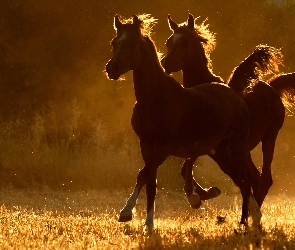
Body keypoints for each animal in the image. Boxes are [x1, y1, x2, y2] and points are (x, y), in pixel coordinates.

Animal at [106, 13, 262, 229]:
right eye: (114, 42)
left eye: (132, 43)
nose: (111, 69)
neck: (155, 98)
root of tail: (237, 96)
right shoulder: (146, 144)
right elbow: (149, 182)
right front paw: (146, 222)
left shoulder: (164, 147)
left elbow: (145, 175)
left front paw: (129, 213)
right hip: (220, 153)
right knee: (242, 181)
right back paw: (253, 219)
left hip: (235, 149)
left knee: (246, 182)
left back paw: (244, 223)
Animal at [162, 14, 295, 209]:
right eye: (169, 42)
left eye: (185, 42)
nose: (164, 63)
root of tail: (271, 86)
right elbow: (184, 168)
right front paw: (207, 194)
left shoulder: (209, 143)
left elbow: (187, 166)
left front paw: (198, 197)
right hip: (244, 151)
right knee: (255, 179)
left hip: (269, 138)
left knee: (264, 179)